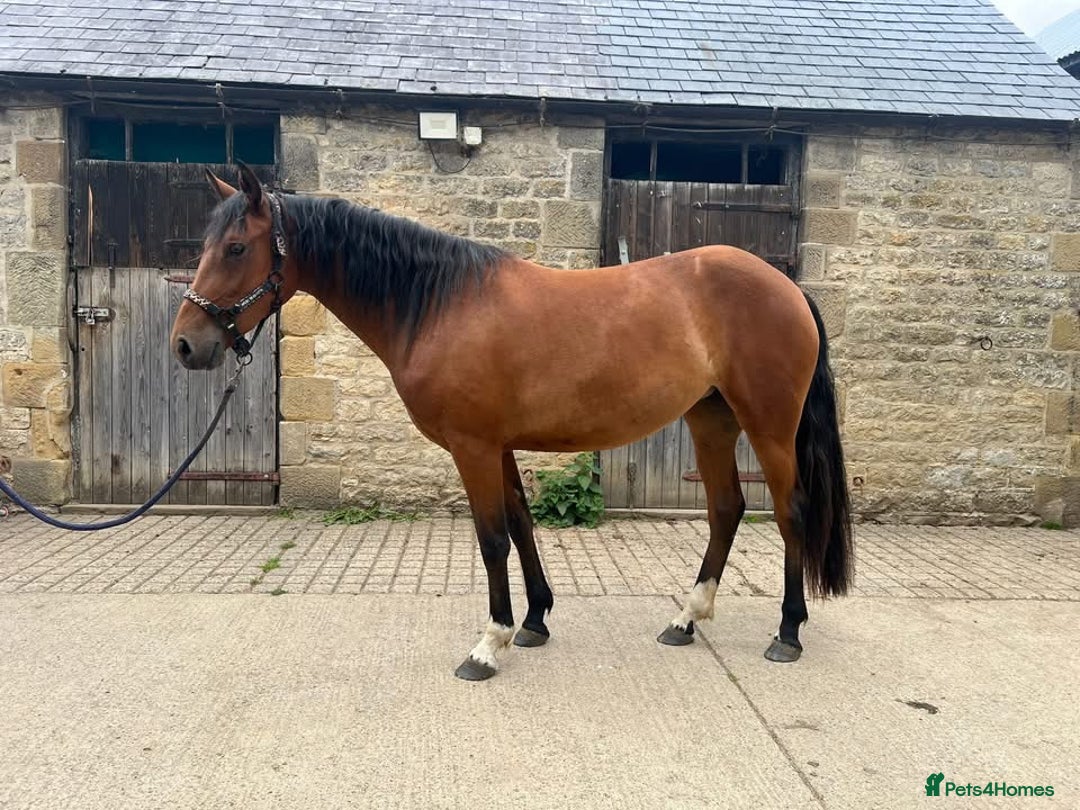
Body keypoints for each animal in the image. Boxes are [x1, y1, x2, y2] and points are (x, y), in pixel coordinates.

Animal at [170, 164, 853, 681]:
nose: (185, 345)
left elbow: (492, 537)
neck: (441, 304)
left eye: (236, 248)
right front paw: (533, 622)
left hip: (768, 426)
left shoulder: (472, 447)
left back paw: (787, 631)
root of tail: (786, 286)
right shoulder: (497, 446)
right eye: (204, 247)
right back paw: (686, 618)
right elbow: (522, 523)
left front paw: (488, 644)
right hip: (711, 419)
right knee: (726, 508)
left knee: (789, 512)